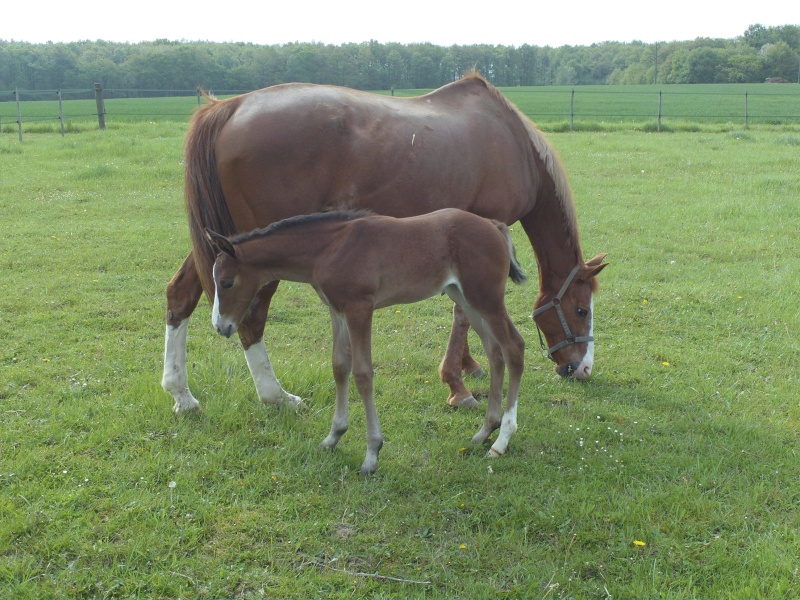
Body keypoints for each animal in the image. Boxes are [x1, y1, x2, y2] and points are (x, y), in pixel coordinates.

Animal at [161, 72, 608, 414]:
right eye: (581, 310)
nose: (583, 368)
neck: (512, 142)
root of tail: (229, 107)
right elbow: (461, 314)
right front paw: (456, 385)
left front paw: (468, 365)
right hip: (257, 257)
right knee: (251, 318)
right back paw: (275, 396)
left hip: (225, 245)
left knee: (181, 294)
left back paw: (181, 395)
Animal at [205, 209, 524, 476]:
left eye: (227, 282)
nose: (221, 326)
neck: (329, 248)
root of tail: (494, 225)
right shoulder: (337, 310)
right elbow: (339, 367)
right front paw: (333, 437)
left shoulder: (360, 308)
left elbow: (362, 374)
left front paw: (372, 453)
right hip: (466, 297)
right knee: (494, 352)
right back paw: (485, 430)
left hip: (486, 297)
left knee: (514, 348)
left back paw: (502, 440)